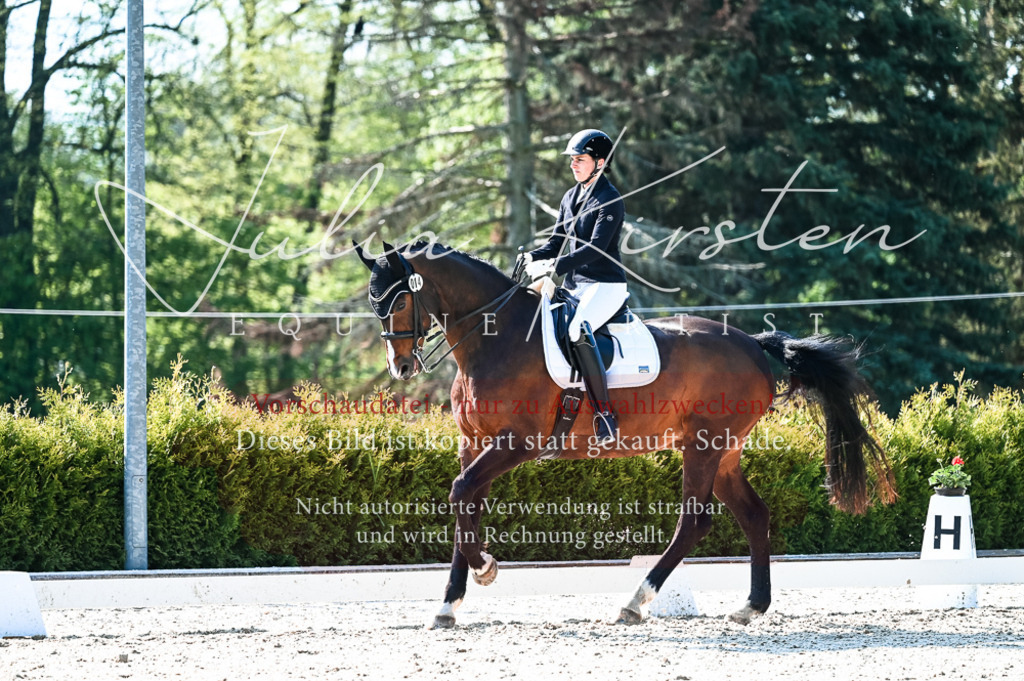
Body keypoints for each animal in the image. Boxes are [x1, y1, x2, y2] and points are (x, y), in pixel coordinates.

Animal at [354, 239, 896, 629]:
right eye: (374, 303)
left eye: (399, 300)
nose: (402, 367)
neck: (495, 338)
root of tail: (752, 344)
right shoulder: (475, 444)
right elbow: (465, 504)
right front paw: (449, 603)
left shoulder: (518, 444)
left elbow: (460, 493)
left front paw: (485, 569)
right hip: (723, 452)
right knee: (754, 515)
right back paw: (751, 607)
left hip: (704, 446)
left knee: (694, 522)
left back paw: (635, 602)